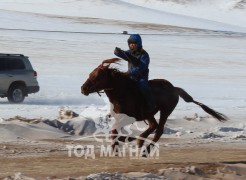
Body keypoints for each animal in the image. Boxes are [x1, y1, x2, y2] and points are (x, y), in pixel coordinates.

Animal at [81, 58, 228, 154]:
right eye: (91, 74)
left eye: (98, 76)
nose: (83, 88)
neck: (122, 93)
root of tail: (174, 89)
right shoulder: (120, 117)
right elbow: (115, 130)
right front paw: (121, 143)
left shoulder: (130, 117)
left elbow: (114, 131)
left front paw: (120, 145)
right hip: (150, 113)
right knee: (154, 125)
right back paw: (140, 142)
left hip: (165, 111)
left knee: (159, 130)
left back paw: (145, 149)